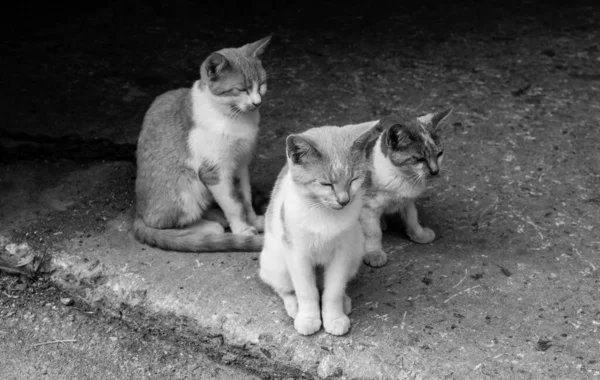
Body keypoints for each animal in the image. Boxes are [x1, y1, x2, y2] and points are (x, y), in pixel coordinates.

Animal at [134, 35, 272, 252]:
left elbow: (245, 197)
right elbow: (233, 204)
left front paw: (252, 220)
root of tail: (139, 213)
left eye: (262, 85)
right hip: (187, 183)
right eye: (241, 89)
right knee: (167, 224)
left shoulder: (241, 165)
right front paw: (242, 230)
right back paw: (208, 226)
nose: (257, 102)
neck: (235, 118)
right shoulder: (214, 172)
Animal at [258, 121, 382, 336]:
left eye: (353, 180)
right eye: (326, 184)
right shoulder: (297, 253)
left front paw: (334, 317)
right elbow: (306, 292)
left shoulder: (343, 252)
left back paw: (344, 301)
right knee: (282, 286)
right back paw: (294, 305)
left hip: (356, 252)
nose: (344, 200)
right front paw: (308, 318)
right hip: (277, 261)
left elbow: (333, 291)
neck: (323, 213)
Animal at [354, 107, 452, 268]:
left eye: (439, 153)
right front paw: (374, 253)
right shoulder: (367, 207)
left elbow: (412, 219)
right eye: (419, 159)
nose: (435, 171)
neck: (403, 177)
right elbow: (372, 233)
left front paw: (419, 234)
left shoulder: (408, 201)